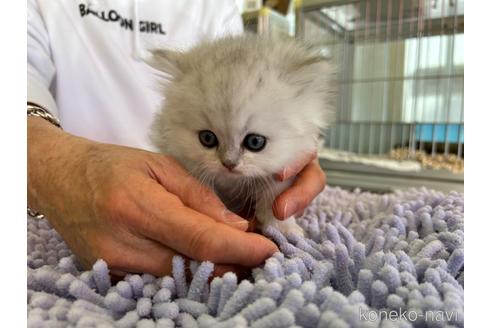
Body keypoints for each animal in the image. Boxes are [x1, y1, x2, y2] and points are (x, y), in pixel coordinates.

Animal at [149, 35, 334, 236]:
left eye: (255, 142)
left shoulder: (285, 169)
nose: (229, 164)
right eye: (207, 138)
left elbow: (274, 199)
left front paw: (284, 230)